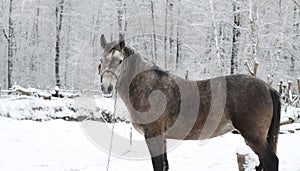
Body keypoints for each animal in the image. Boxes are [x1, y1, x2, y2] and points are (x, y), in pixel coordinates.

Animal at [98, 34, 282, 170]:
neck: (149, 88)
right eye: (101, 60)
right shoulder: (162, 138)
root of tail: (267, 88)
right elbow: (165, 166)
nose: (106, 87)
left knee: (271, 162)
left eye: (120, 60)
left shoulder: (153, 136)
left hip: (254, 137)